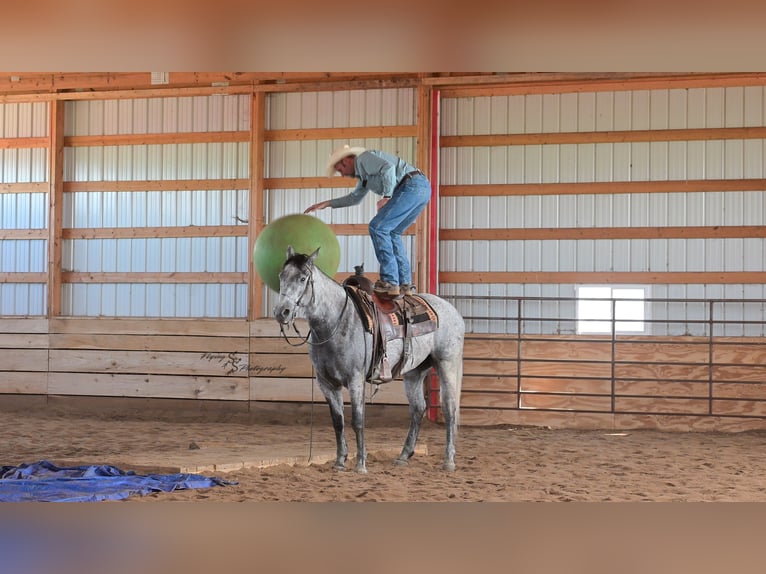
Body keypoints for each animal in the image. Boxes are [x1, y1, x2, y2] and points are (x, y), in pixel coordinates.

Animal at [274, 246, 465, 473]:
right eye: (281, 276)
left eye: (303, 278)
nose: (282, 312)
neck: (336, 322)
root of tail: (452, 310)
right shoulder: (326, 383)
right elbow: (338, 421)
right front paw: (340, 461)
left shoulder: (355, 379)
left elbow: (358, 420)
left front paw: (360, 464)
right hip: (414, 371)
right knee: (418, 408)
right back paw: (403, 456)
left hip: (447, 364)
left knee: (450, 409)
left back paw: (449, 460)